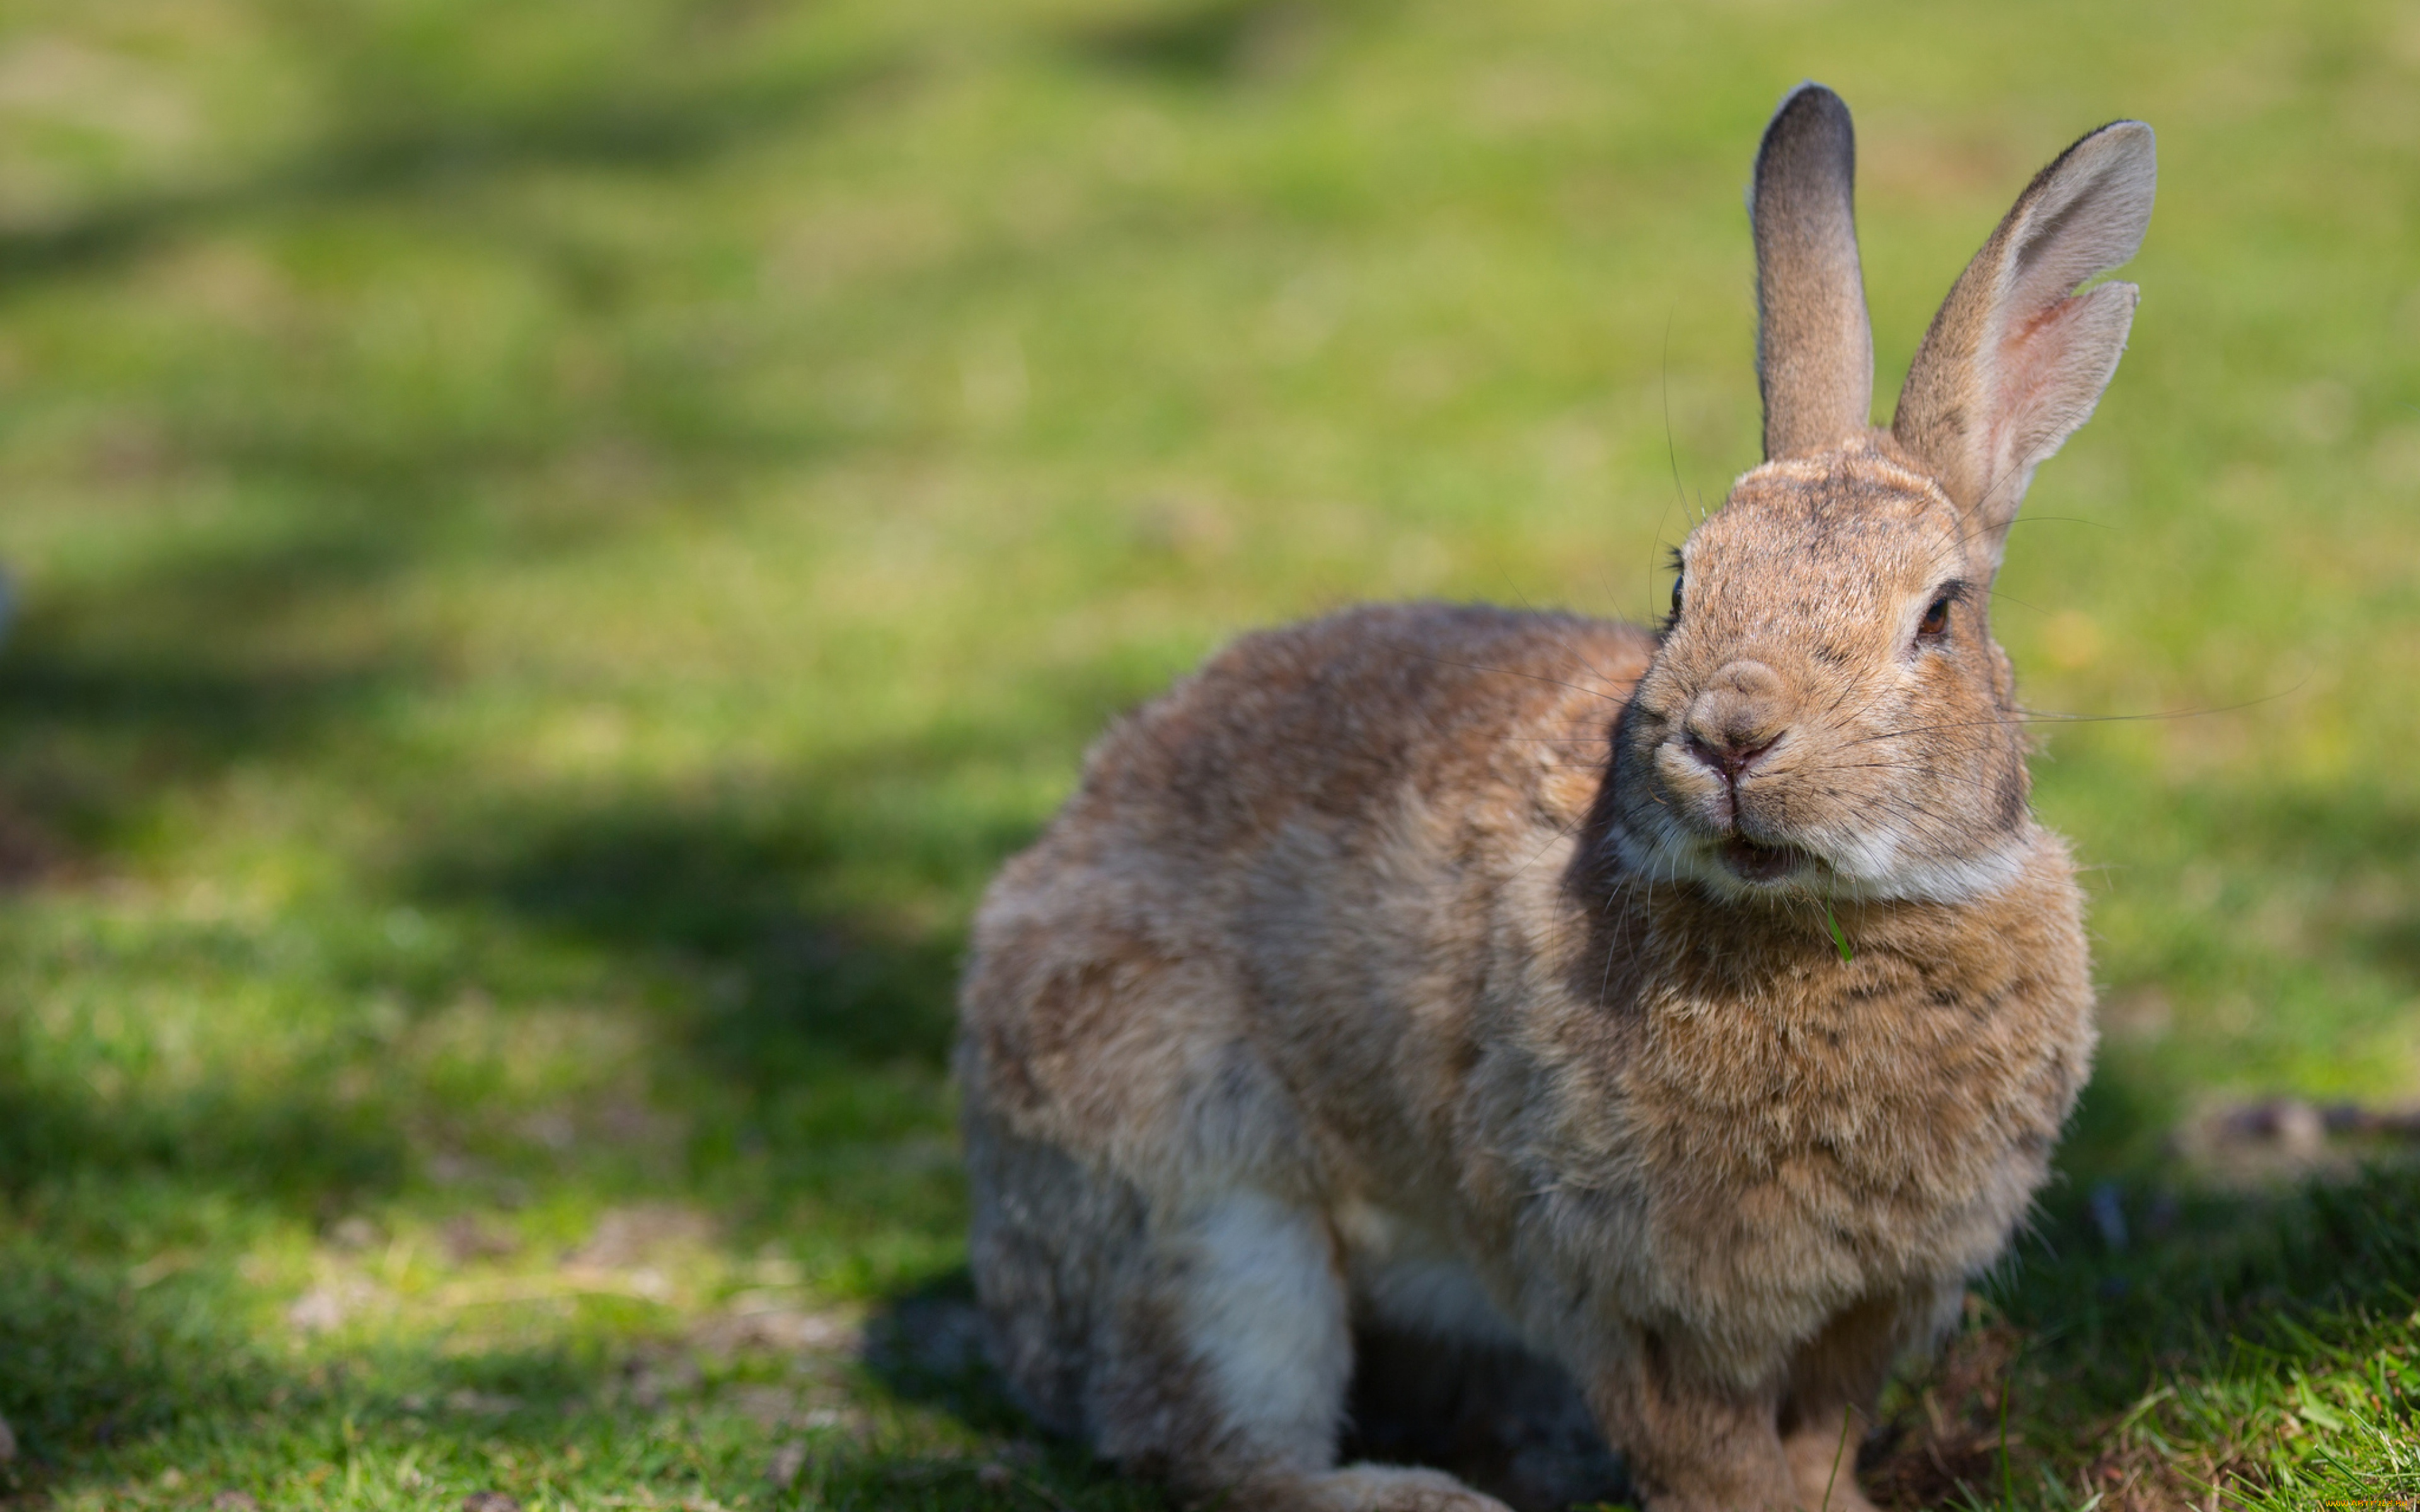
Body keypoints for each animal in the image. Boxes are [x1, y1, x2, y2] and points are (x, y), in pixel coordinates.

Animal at [953, 85, 2148, 1509]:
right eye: (1684, 584)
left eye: (1940, 618)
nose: (1731, 734)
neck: (1823, 930)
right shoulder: (1624, 1292)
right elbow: (1715, 1457)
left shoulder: (1872, 1304)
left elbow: (1816, 1442)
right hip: (1209, 1208)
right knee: (1212, 1439)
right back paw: (1424, 1495)